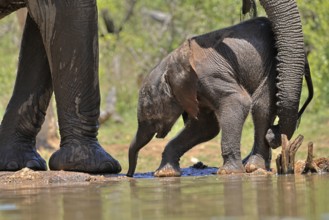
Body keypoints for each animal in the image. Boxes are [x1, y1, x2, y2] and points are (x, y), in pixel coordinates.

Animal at [127, 17, 312, 177]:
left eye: (149, 111)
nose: (129, 175)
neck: (172, 63)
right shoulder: (197, 93)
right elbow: (205, 127)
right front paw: (165, 174)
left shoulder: (209, 77)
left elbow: (238, 103)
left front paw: (228, 172)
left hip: (273, 64)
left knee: (261, 105)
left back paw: (253, 167)